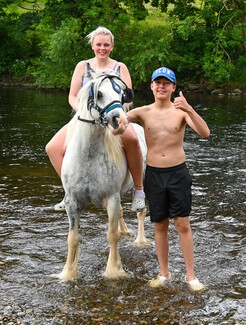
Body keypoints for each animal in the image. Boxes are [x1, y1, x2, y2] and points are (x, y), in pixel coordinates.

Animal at [54, 72, 149, 280]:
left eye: (122, 94)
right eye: (99, 94)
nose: (120, 121)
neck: (89, 155)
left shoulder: (111, 199)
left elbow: (112, 236)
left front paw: (114, 271)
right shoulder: (73, 203)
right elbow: (73, 238)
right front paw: (68, 273)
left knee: (141, 212)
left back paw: (140, 240)